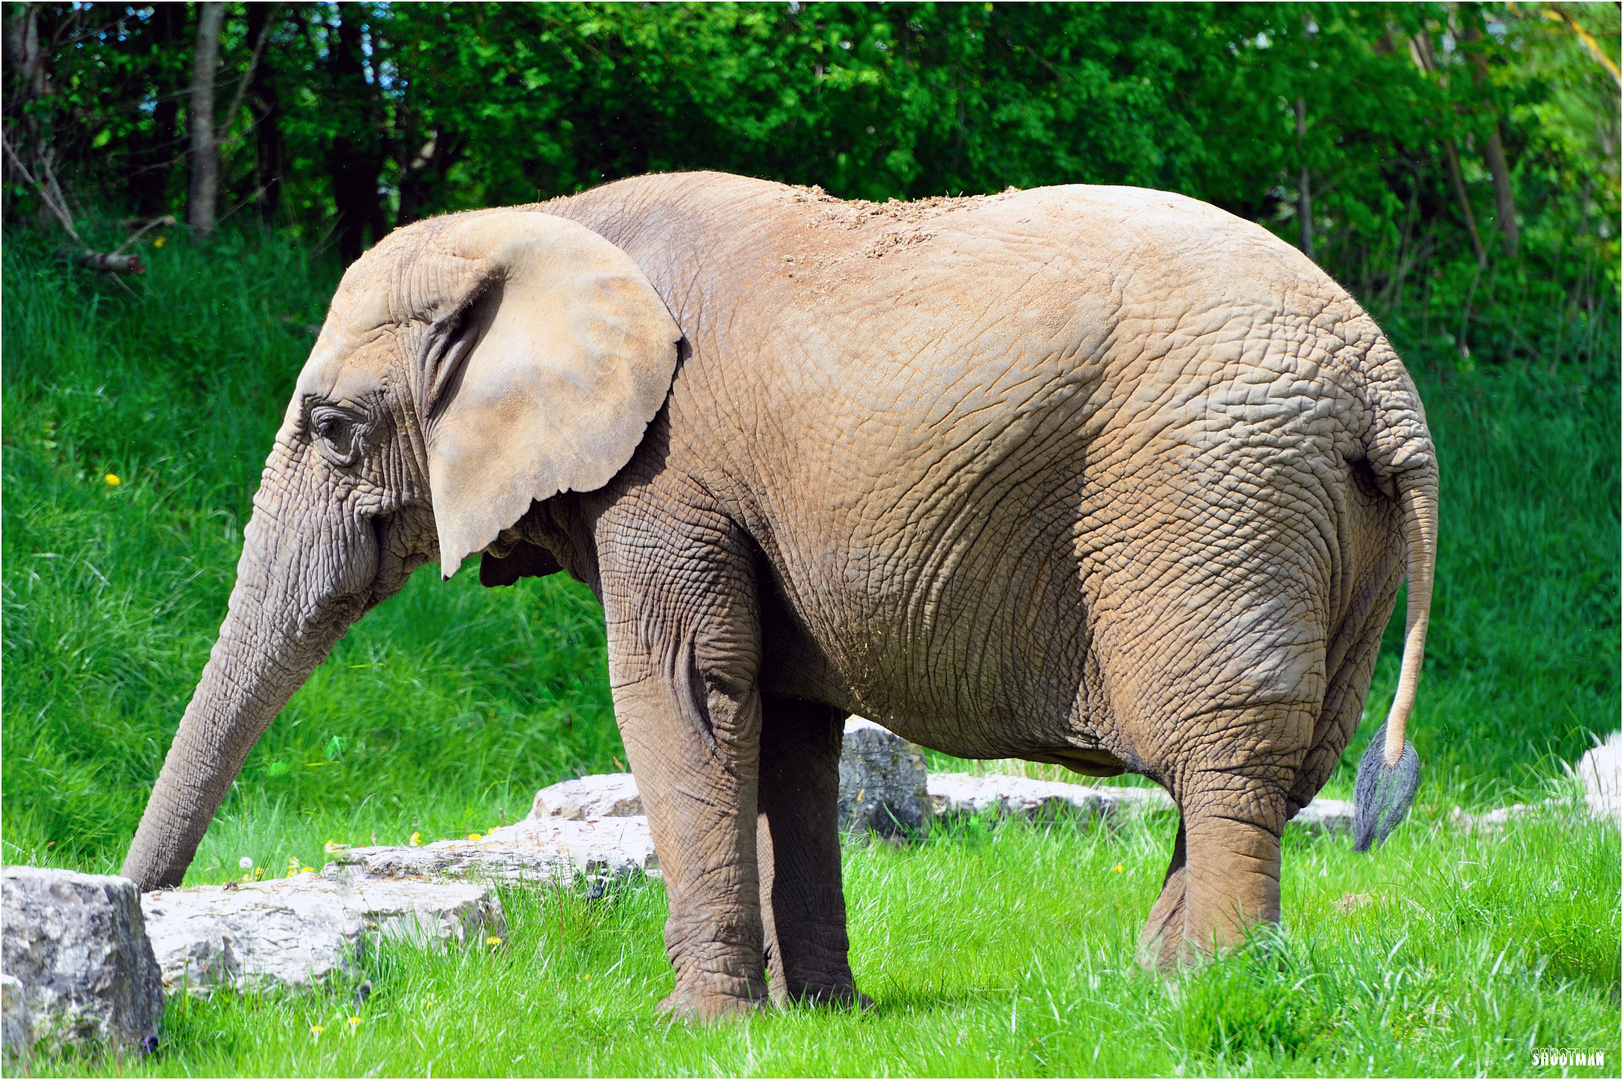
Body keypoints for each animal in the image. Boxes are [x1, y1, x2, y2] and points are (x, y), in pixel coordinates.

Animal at [123, 170, 1434, 1019]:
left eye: (333, 432)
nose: (135, 905)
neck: (543, 229)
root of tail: (1387, 388)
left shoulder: (667, 467)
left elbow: (680, 684)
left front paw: (697, 1030)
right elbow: (787, 725)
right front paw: (822, 1019)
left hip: (1214, 489)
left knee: (1226, 755)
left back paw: (1206, 994)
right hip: (1323, 527)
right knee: (1291, 760)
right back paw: (1150, 983)